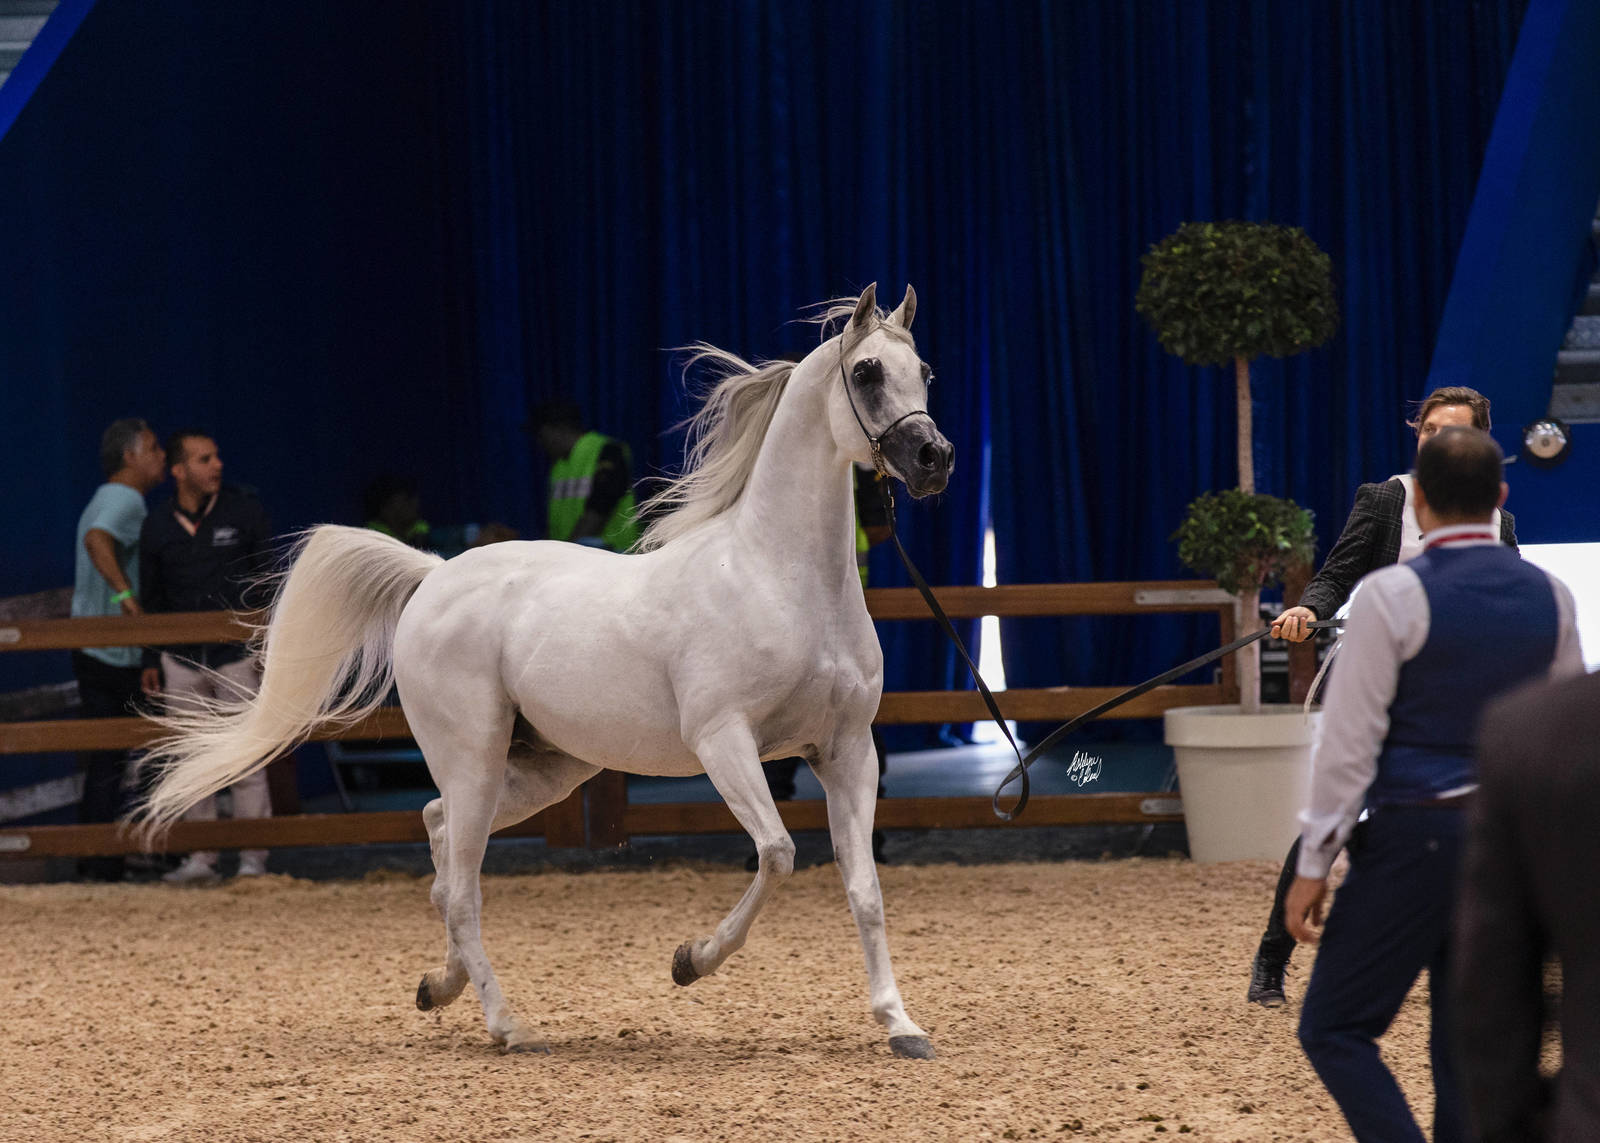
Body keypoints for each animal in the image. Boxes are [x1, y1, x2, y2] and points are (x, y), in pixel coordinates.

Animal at [137, 283, 954, 1059]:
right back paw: (511, 1027)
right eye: (865, 371)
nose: (933, 459)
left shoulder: (847, 751)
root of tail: (432, 575)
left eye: (926, 371)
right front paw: (689, 961)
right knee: (461, 886)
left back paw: (440, 985)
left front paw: (901, 1026)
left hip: (543, 770)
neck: (778, 577)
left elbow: (865, 890)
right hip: (474, 758)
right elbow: (779, 854)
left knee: (440, 844)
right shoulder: (725, 741)